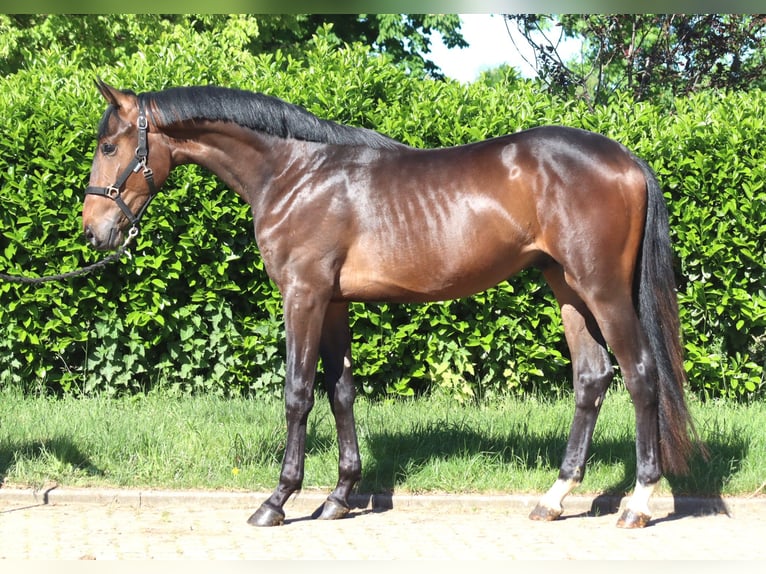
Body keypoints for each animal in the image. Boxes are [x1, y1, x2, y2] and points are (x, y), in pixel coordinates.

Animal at [82, 80, 700, 528]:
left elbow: (298, 394)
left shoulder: (303, 295)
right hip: (566, 287)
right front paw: (339, 496)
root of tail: (626, 159)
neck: (293, 173)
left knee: (640, 374)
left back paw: (638, 503)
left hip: (602, 290)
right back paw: (554, 497)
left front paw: (277, 500)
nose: (95, 232)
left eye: (110, 147)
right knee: (592, 377)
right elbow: (341, 393)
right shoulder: (333, 302)